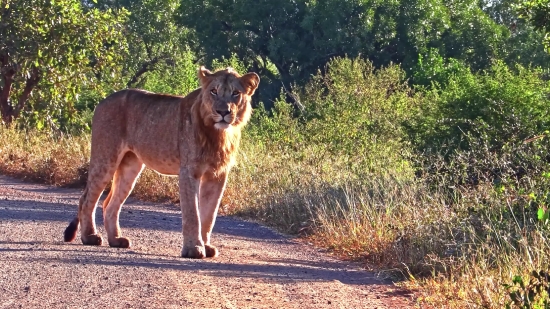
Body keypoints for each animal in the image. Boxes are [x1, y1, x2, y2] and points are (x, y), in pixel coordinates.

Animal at [63, 65, 262, 258]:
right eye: (214, 91)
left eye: (235, 93)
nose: (222, 112)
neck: (219, 134)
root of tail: (103, 101)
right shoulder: (189, 171)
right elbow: (193, 214)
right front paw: (194, 249)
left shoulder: (218, 175)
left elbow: (209, 215)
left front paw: (206, 247)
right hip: (105, 158)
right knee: (86, 199)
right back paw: (90, 236)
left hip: (130, 167)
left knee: (109, 204)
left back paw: (117, 240)